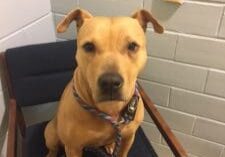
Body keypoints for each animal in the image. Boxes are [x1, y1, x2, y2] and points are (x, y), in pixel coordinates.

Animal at [44, 8, 163, 157]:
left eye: (132, 46)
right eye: (88, 46)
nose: (110, 82)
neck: (109, 110)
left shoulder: (129, 138)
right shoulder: (73, 148)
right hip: (51, 134)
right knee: (53, 148)